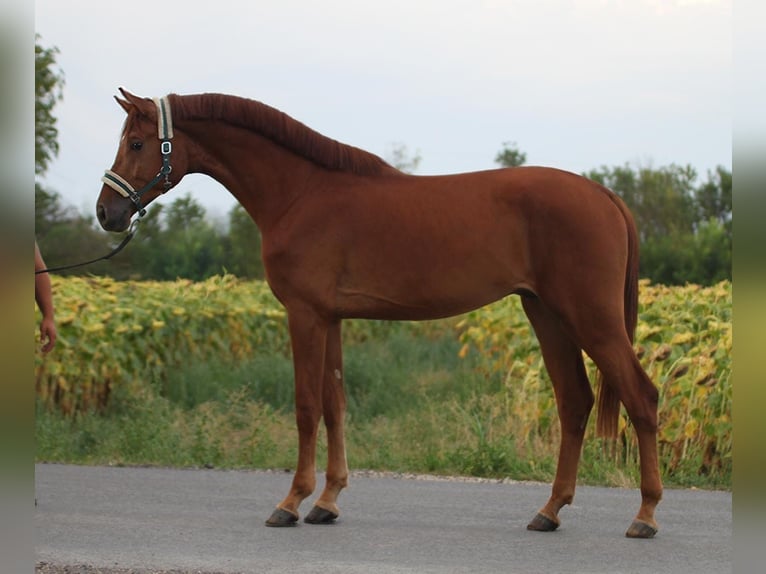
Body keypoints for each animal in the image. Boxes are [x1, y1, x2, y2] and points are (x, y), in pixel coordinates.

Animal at [94, 88, 660, 536]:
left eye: (137, 143)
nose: (106, 212)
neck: (301, 193)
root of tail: (603, 194)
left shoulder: (304, 315)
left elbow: (306, 407)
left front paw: (290, 502)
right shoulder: (330, 318)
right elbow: (335, 403)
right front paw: (326, 502)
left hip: (591, 319)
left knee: (641, 397)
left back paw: (645, 515)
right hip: (547, 314)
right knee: (575, 401)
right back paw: (550, 511)